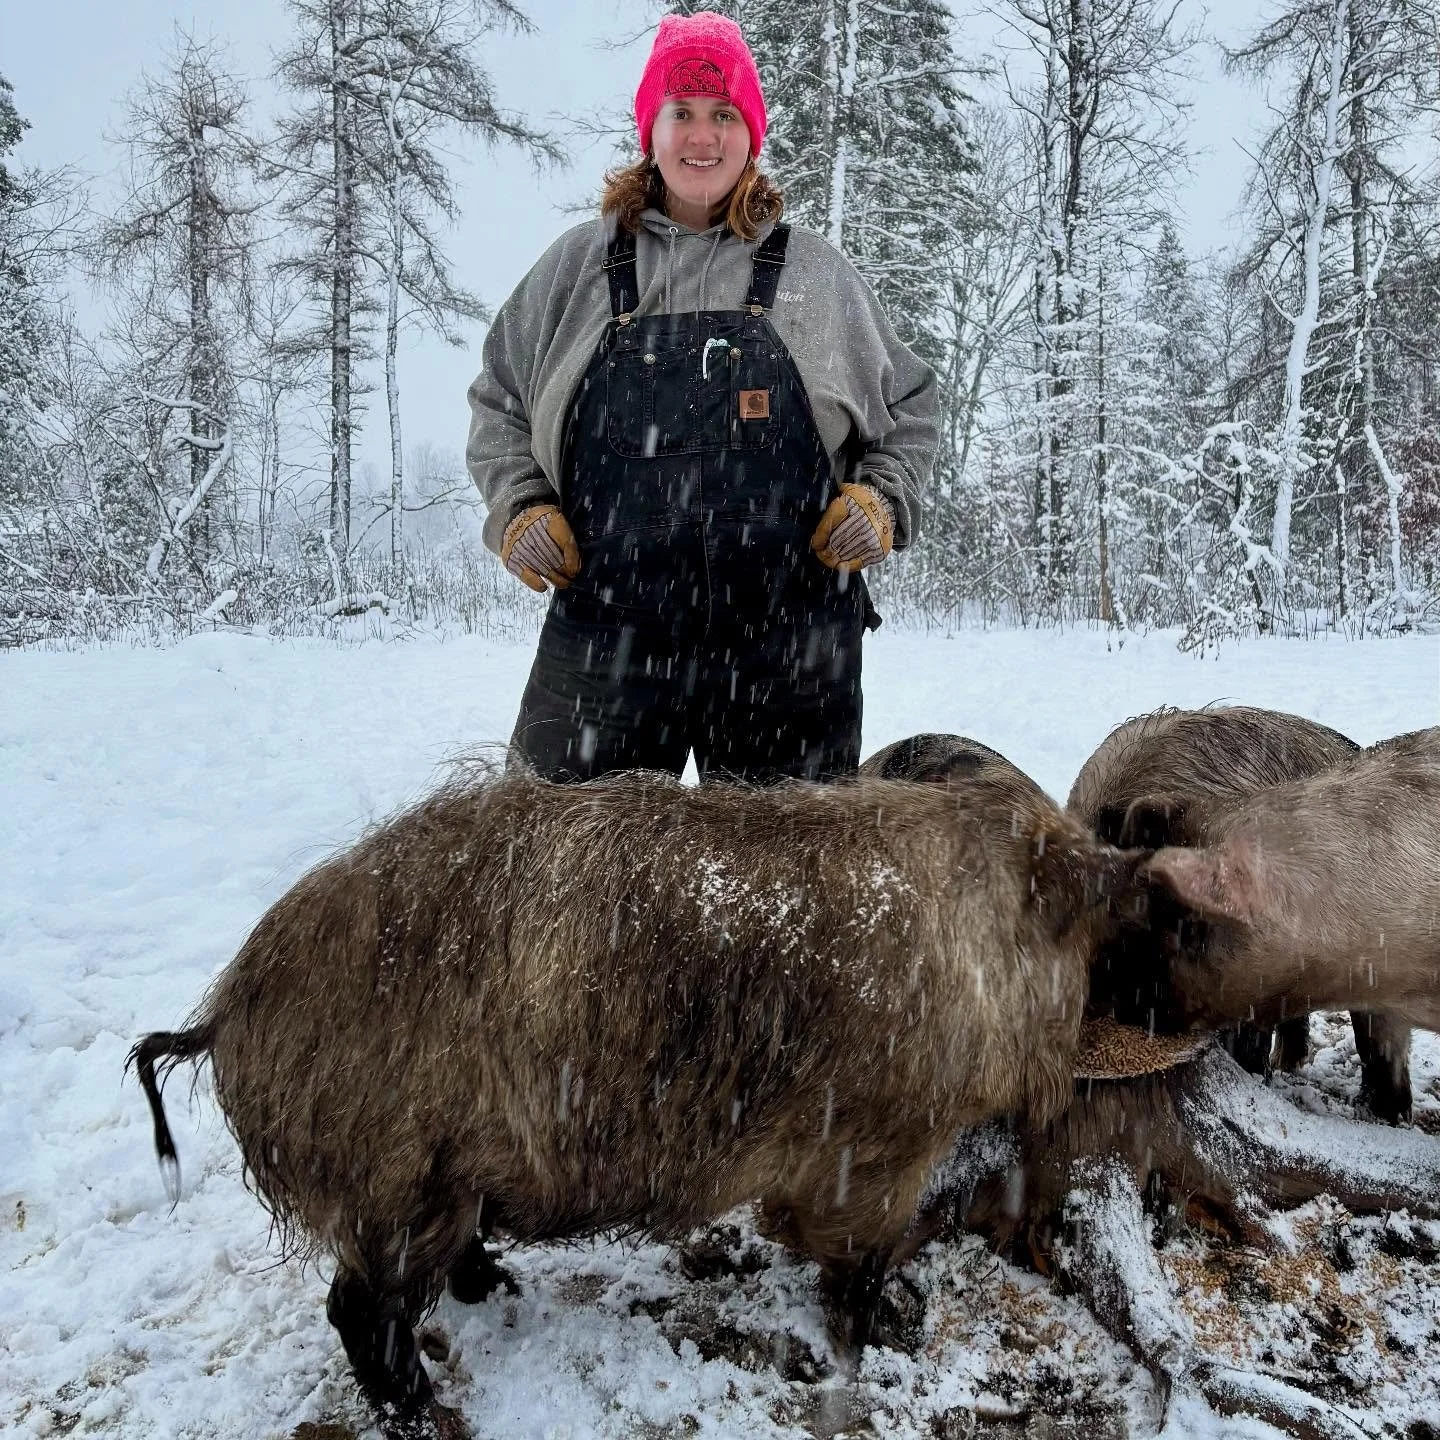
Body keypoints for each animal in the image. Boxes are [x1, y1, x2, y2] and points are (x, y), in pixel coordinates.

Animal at [132, 761, 1147, 1438]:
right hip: (390, 1174)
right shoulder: (874, 1143)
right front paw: (886, 1340)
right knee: (358, 1314)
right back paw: (437, 1418)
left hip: (434, 1181)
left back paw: (498, 1288)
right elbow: (856, 1263)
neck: (975, 946)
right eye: (1096, 935)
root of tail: (225, 1008)